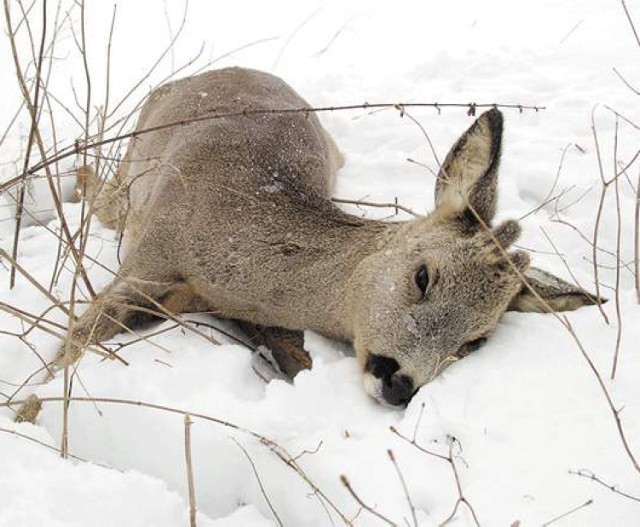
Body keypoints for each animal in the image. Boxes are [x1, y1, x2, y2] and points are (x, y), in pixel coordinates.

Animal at [50, 68, 600, 408]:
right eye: (423, 276)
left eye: (475, 341)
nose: (401, 384)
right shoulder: (146, 258)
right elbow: (71, 345)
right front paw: (38, 399)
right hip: (128, 173)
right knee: (99, 190)